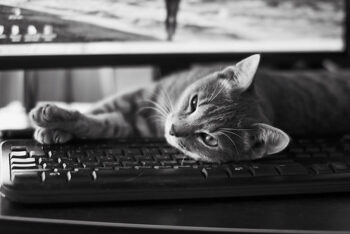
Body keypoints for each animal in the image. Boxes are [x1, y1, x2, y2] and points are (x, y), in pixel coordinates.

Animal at [29, 54, 350, 162]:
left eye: (209, 139)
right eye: (194, 103)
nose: (172, 129)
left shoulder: (135, 120)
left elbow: (102, 123)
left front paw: (54, 127)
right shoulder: (143, 95)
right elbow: (99, 109)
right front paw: (52, 123)